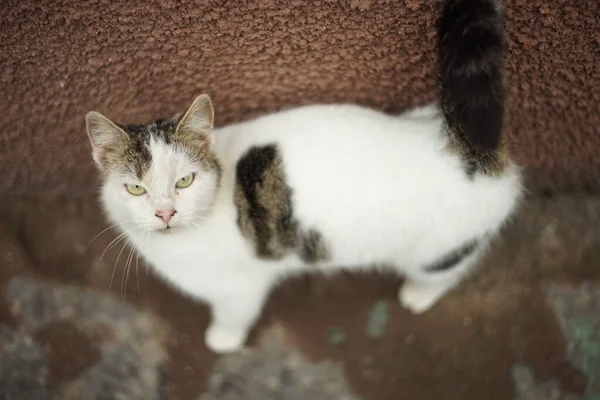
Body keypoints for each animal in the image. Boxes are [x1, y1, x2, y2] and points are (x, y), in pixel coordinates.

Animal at [86, 0, 524, 354]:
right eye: (136, 187)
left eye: (184, 182)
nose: (165, 213)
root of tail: (468, 147)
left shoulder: (238, 290)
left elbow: (234, 316)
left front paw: (222, 340)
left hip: (440, 249)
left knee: (444, 272)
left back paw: (417, 294)